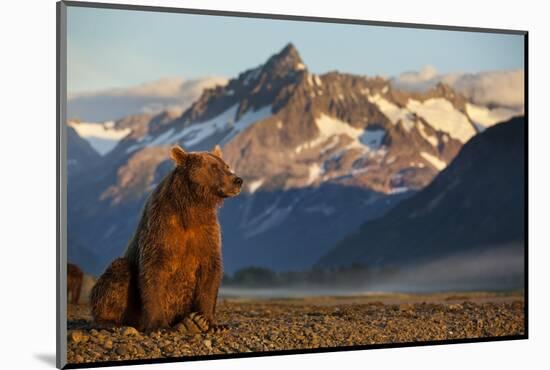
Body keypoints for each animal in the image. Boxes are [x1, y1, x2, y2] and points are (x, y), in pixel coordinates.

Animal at [91, 145, 244, 332]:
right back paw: (109, 322)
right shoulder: (162, 228)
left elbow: (210, 271)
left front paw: (210, 322)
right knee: (118, 273)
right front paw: (158, 325)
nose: (238, 180)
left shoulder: (207, 232)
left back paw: (190, 323)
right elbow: (154, 271)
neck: (192, 205)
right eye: (214, 167)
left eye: (226, 166)